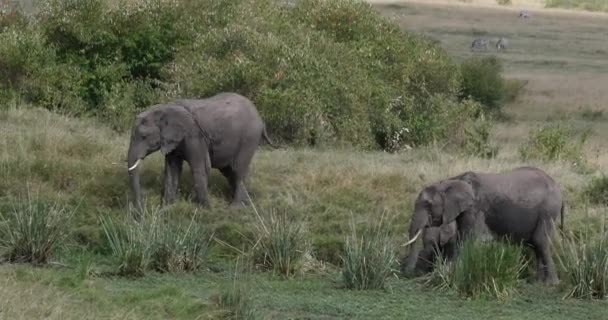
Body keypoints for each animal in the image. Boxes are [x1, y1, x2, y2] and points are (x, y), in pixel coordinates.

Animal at [127, 91, 276, 209]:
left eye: (144, 136)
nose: (141, 210)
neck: (164, 109)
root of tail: (260, 117)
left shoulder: (194, 136)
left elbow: (201, 167)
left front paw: (204, 209)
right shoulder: (172, 141)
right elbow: (172, 169)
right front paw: (167, 208)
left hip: (249, 138)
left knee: (238, 169)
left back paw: (236, 207)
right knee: (229, 171)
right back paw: (246, 202)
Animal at [400, 166, 564, 284]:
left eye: (428, 205)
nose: (407, 274)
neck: (449, 182)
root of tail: (559, 189)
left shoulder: (474, 208)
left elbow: (466, 240)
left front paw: (451, 274)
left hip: (548, 210)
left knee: (540, 241)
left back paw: (551, 284)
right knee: (536, 244)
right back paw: (537, 282)